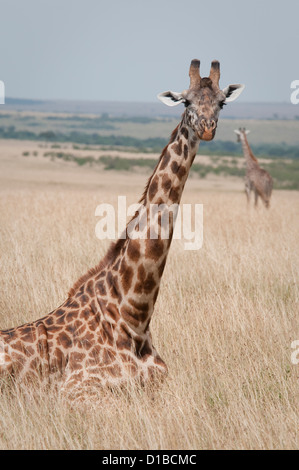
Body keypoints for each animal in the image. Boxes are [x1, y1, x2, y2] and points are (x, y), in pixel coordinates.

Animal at [0, 59, 246, 404]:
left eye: (222, 102)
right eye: (186, 101)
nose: (208, 127)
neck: (133, 313)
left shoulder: (162, 383)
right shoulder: (77, 391)